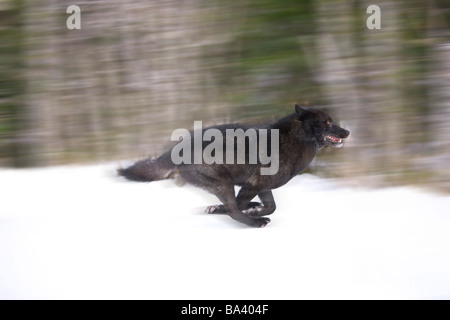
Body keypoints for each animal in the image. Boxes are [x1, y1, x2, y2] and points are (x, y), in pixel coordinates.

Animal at [118, 105, 348, 228]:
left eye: (332, 121)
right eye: (327, 123)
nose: (347, 132)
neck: (293, 139)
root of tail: (177, 147)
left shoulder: (262, 187)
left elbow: (271, 206)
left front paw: (255, 209)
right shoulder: (252, 185)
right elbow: (240, 206)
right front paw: (251, 213)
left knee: (234, 207)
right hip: (224, 182)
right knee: (232, 209)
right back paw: (254, 222)